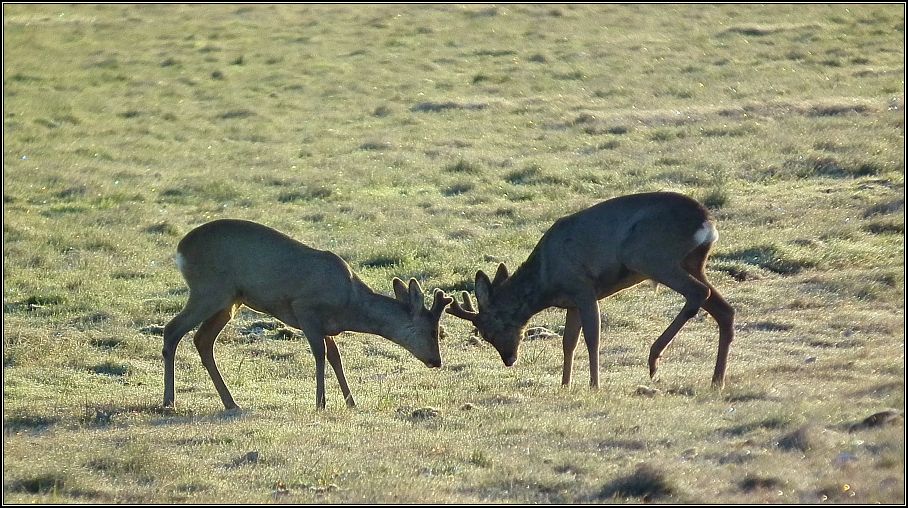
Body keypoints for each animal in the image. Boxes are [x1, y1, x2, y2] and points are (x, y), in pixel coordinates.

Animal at [163, 218, 454, 408]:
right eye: (433, 331)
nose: (436, 361)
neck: (350, 304)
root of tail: (180, 248)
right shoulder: (305, 309)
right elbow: (320, 356)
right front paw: (320, 403)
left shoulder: (326, 325)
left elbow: (336, 357)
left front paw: (351, 402)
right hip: (210, 290)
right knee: (172, 329)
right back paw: (169, 401)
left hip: (230, 301)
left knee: (202, 340)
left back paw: (230, 402)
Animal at [446, 193, 736, 388]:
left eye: (488, 331)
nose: (509, 359)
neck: (546, 278)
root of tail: (707, 223)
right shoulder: (572, 302)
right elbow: (568, 343)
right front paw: (565, 384)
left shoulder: (583, 288)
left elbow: (592, 338)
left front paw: (594, 384)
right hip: (692, 262)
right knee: (724, 309)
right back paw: (717, 380)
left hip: (650, 256)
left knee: (699, 293)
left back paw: (654, 359)